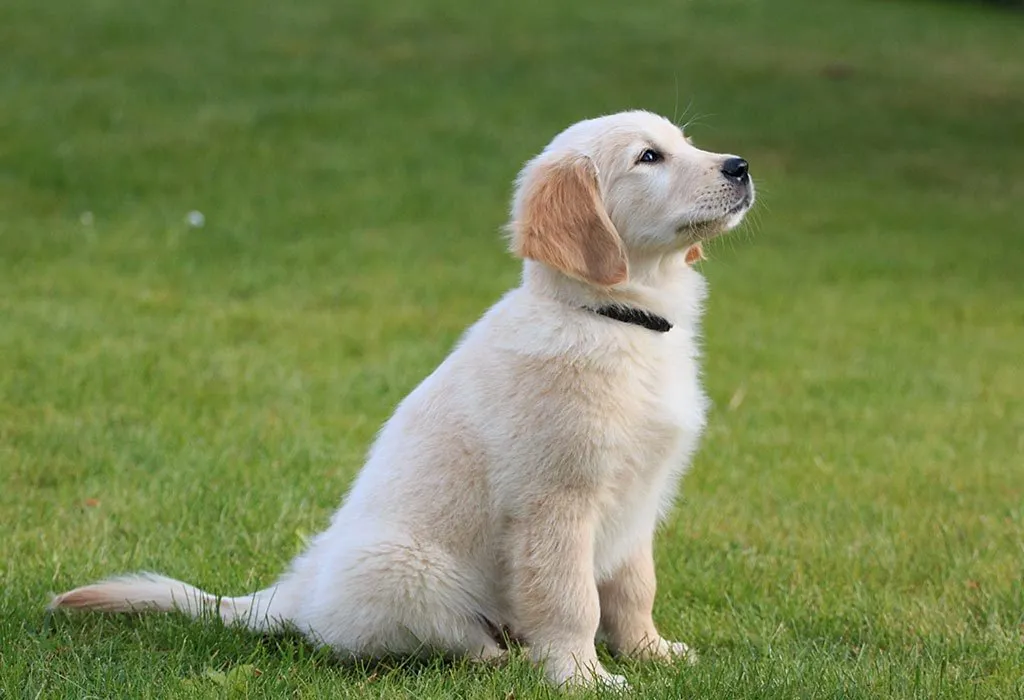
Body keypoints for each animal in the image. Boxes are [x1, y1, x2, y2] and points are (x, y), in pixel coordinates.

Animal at [49, 109, 753, 687]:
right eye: (648, 157)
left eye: (685, 141)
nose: (740, 166)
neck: (612, 318)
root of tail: (292, 594)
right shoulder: (557, 503)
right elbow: (571, 600)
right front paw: (582, 677)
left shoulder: (637, 502)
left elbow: (634, 590)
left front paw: (653, 653)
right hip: (408, 570)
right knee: (427, 644)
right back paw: (502, 657)